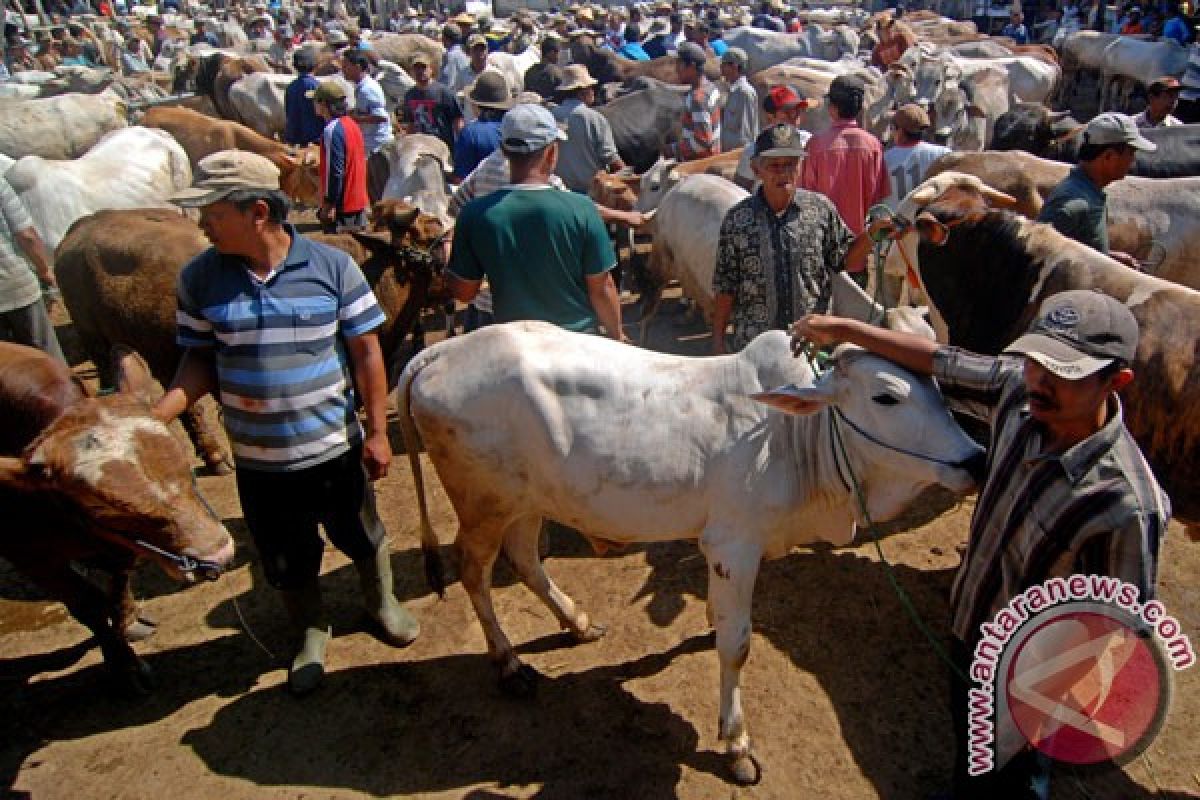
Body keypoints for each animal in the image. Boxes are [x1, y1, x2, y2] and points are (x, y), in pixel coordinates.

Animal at [0, 345, 234, 695]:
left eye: (182, 460)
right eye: (102, 504)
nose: (218, 553)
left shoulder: (123, 547)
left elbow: (118, 582)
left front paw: (128, 620)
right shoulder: (29, 555)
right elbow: (88, 603)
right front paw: (125, 666)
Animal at [398, 319, 979, 782]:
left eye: (938, 386)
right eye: (887, 397)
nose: (974, 458)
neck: (793, 436)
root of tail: (439, 352)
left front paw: (706, 622)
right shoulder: (734, 545)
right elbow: (737, 646)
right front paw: (737, 745)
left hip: (528, 501)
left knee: (523, 558)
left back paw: (577, 623)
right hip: (484, 505)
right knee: (473, 571)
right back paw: (509, 664)